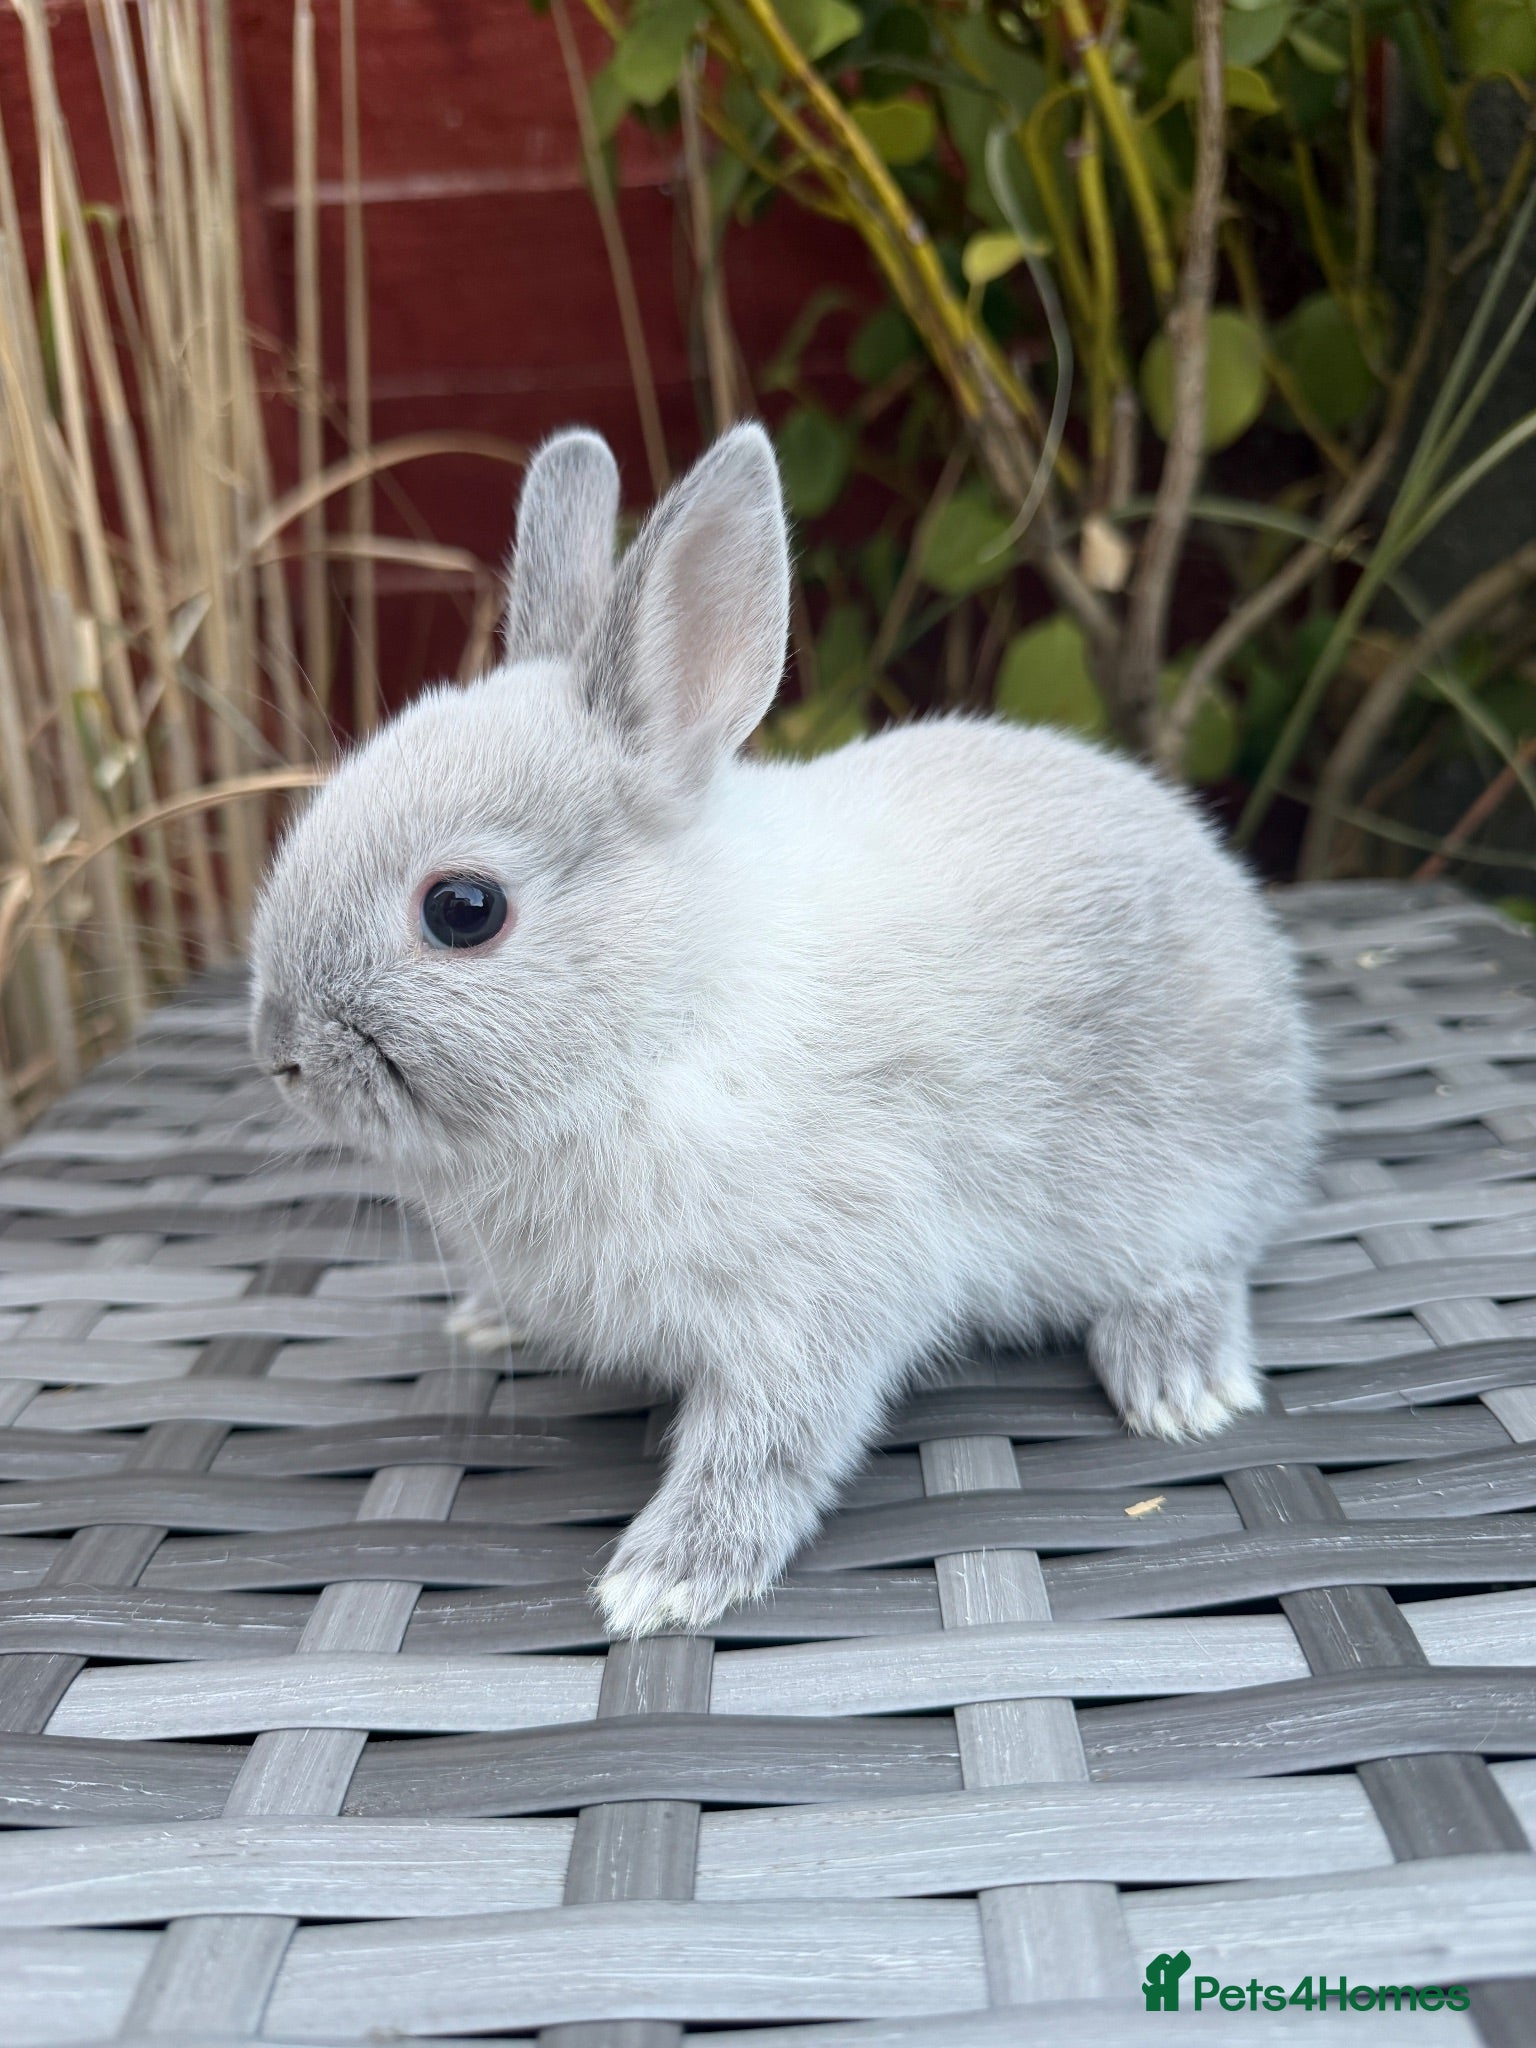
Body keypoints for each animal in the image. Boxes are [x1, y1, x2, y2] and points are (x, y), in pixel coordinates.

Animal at [250, 421, 1316, 1639]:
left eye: (462, 909)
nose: (279, 1050)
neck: (660, 1022)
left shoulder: (821, 1294)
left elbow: (768, 1442)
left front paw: (663, 1583)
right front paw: (486, 1322)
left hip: (1178, 1175)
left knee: (1209, 1255)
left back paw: (1181, 1386)